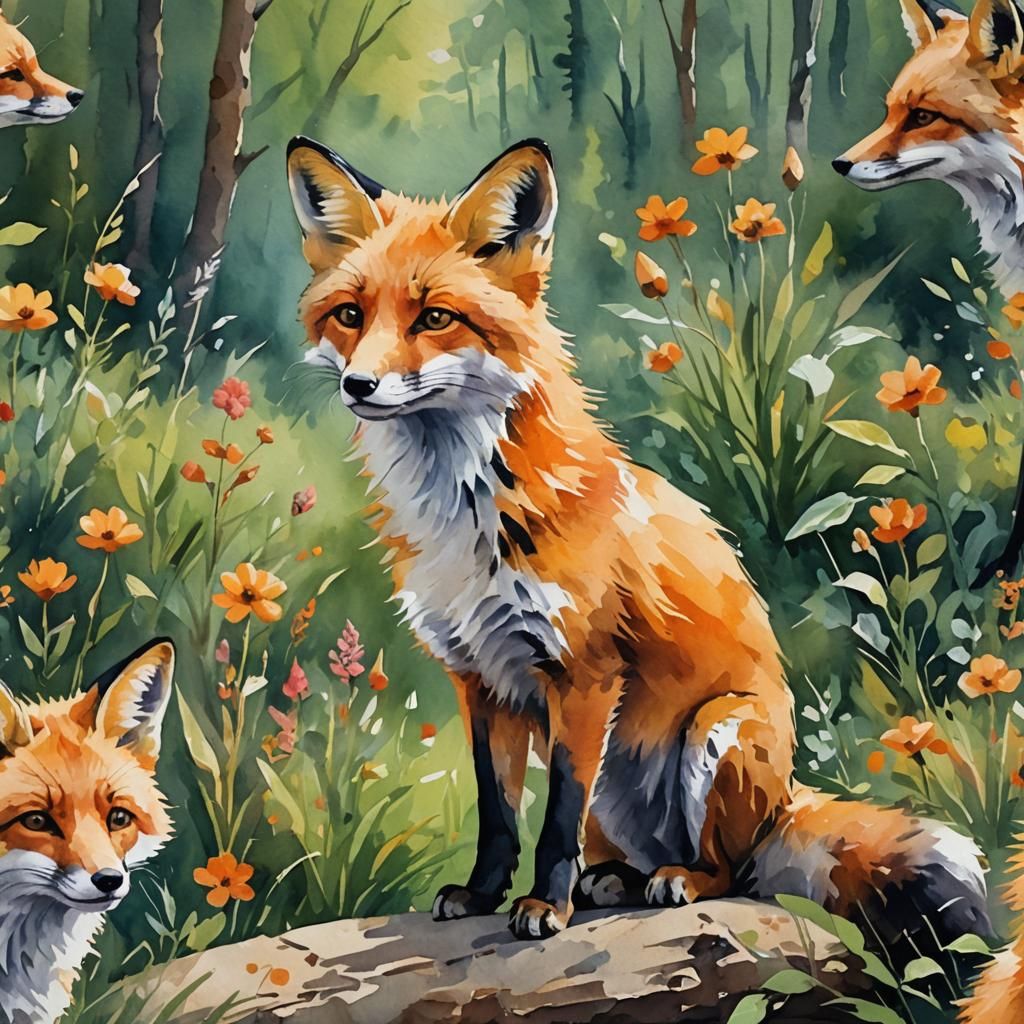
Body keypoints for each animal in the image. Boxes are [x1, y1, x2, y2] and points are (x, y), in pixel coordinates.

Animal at [287, 134, 991, 953]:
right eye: (349, 315)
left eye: (435, 317)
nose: (359, 385)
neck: (464, 518)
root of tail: (786, 801)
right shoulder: (479, 678)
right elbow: (499, 813)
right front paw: (484, 893)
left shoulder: (582, 672)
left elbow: (554, 818)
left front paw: (543, 908)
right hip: (618, 790)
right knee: (632, 856)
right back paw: (613, 881)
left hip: (716, 733)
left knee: (731, 869)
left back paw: (675, 881)